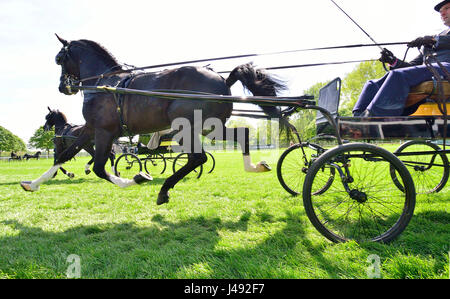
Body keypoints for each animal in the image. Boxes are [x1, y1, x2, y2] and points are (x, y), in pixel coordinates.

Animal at [20, 34, 288, 204]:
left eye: (59, 58)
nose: (62, 87)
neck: (105, 84)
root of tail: (222, 79)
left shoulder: (104, 132)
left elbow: (98, 168)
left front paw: (137, 178)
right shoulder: (90, 129)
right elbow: (65, 155)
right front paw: (33, 183)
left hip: (185, 126)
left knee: (198, 157)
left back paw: (164, 190)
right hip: (210, 127)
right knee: (241, 136)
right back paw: (255, 166)